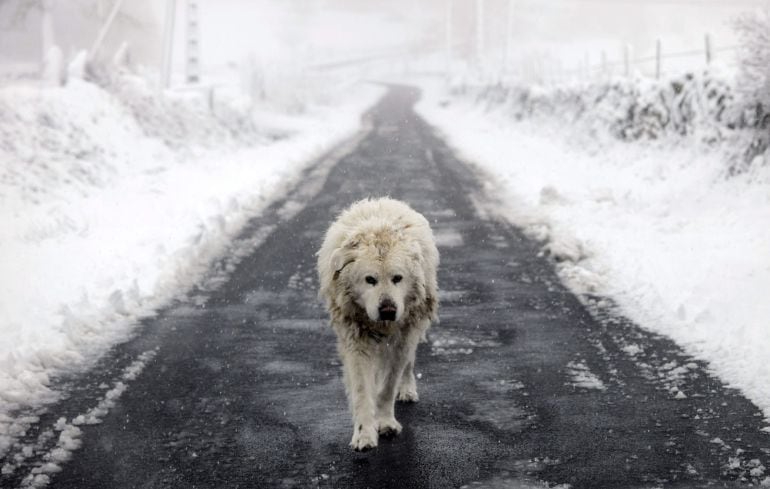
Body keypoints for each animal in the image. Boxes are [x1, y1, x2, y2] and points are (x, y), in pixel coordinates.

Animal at [316, 197, 438, 450]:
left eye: (397, 278)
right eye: (370, 279)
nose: (388, 310)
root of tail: (383, 201)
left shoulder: (402, 338)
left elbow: (388, 385)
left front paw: (385, 422)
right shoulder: (356, 339)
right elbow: (362, 389)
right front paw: (364, 434)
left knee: (409, 364)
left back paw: (407, 389)